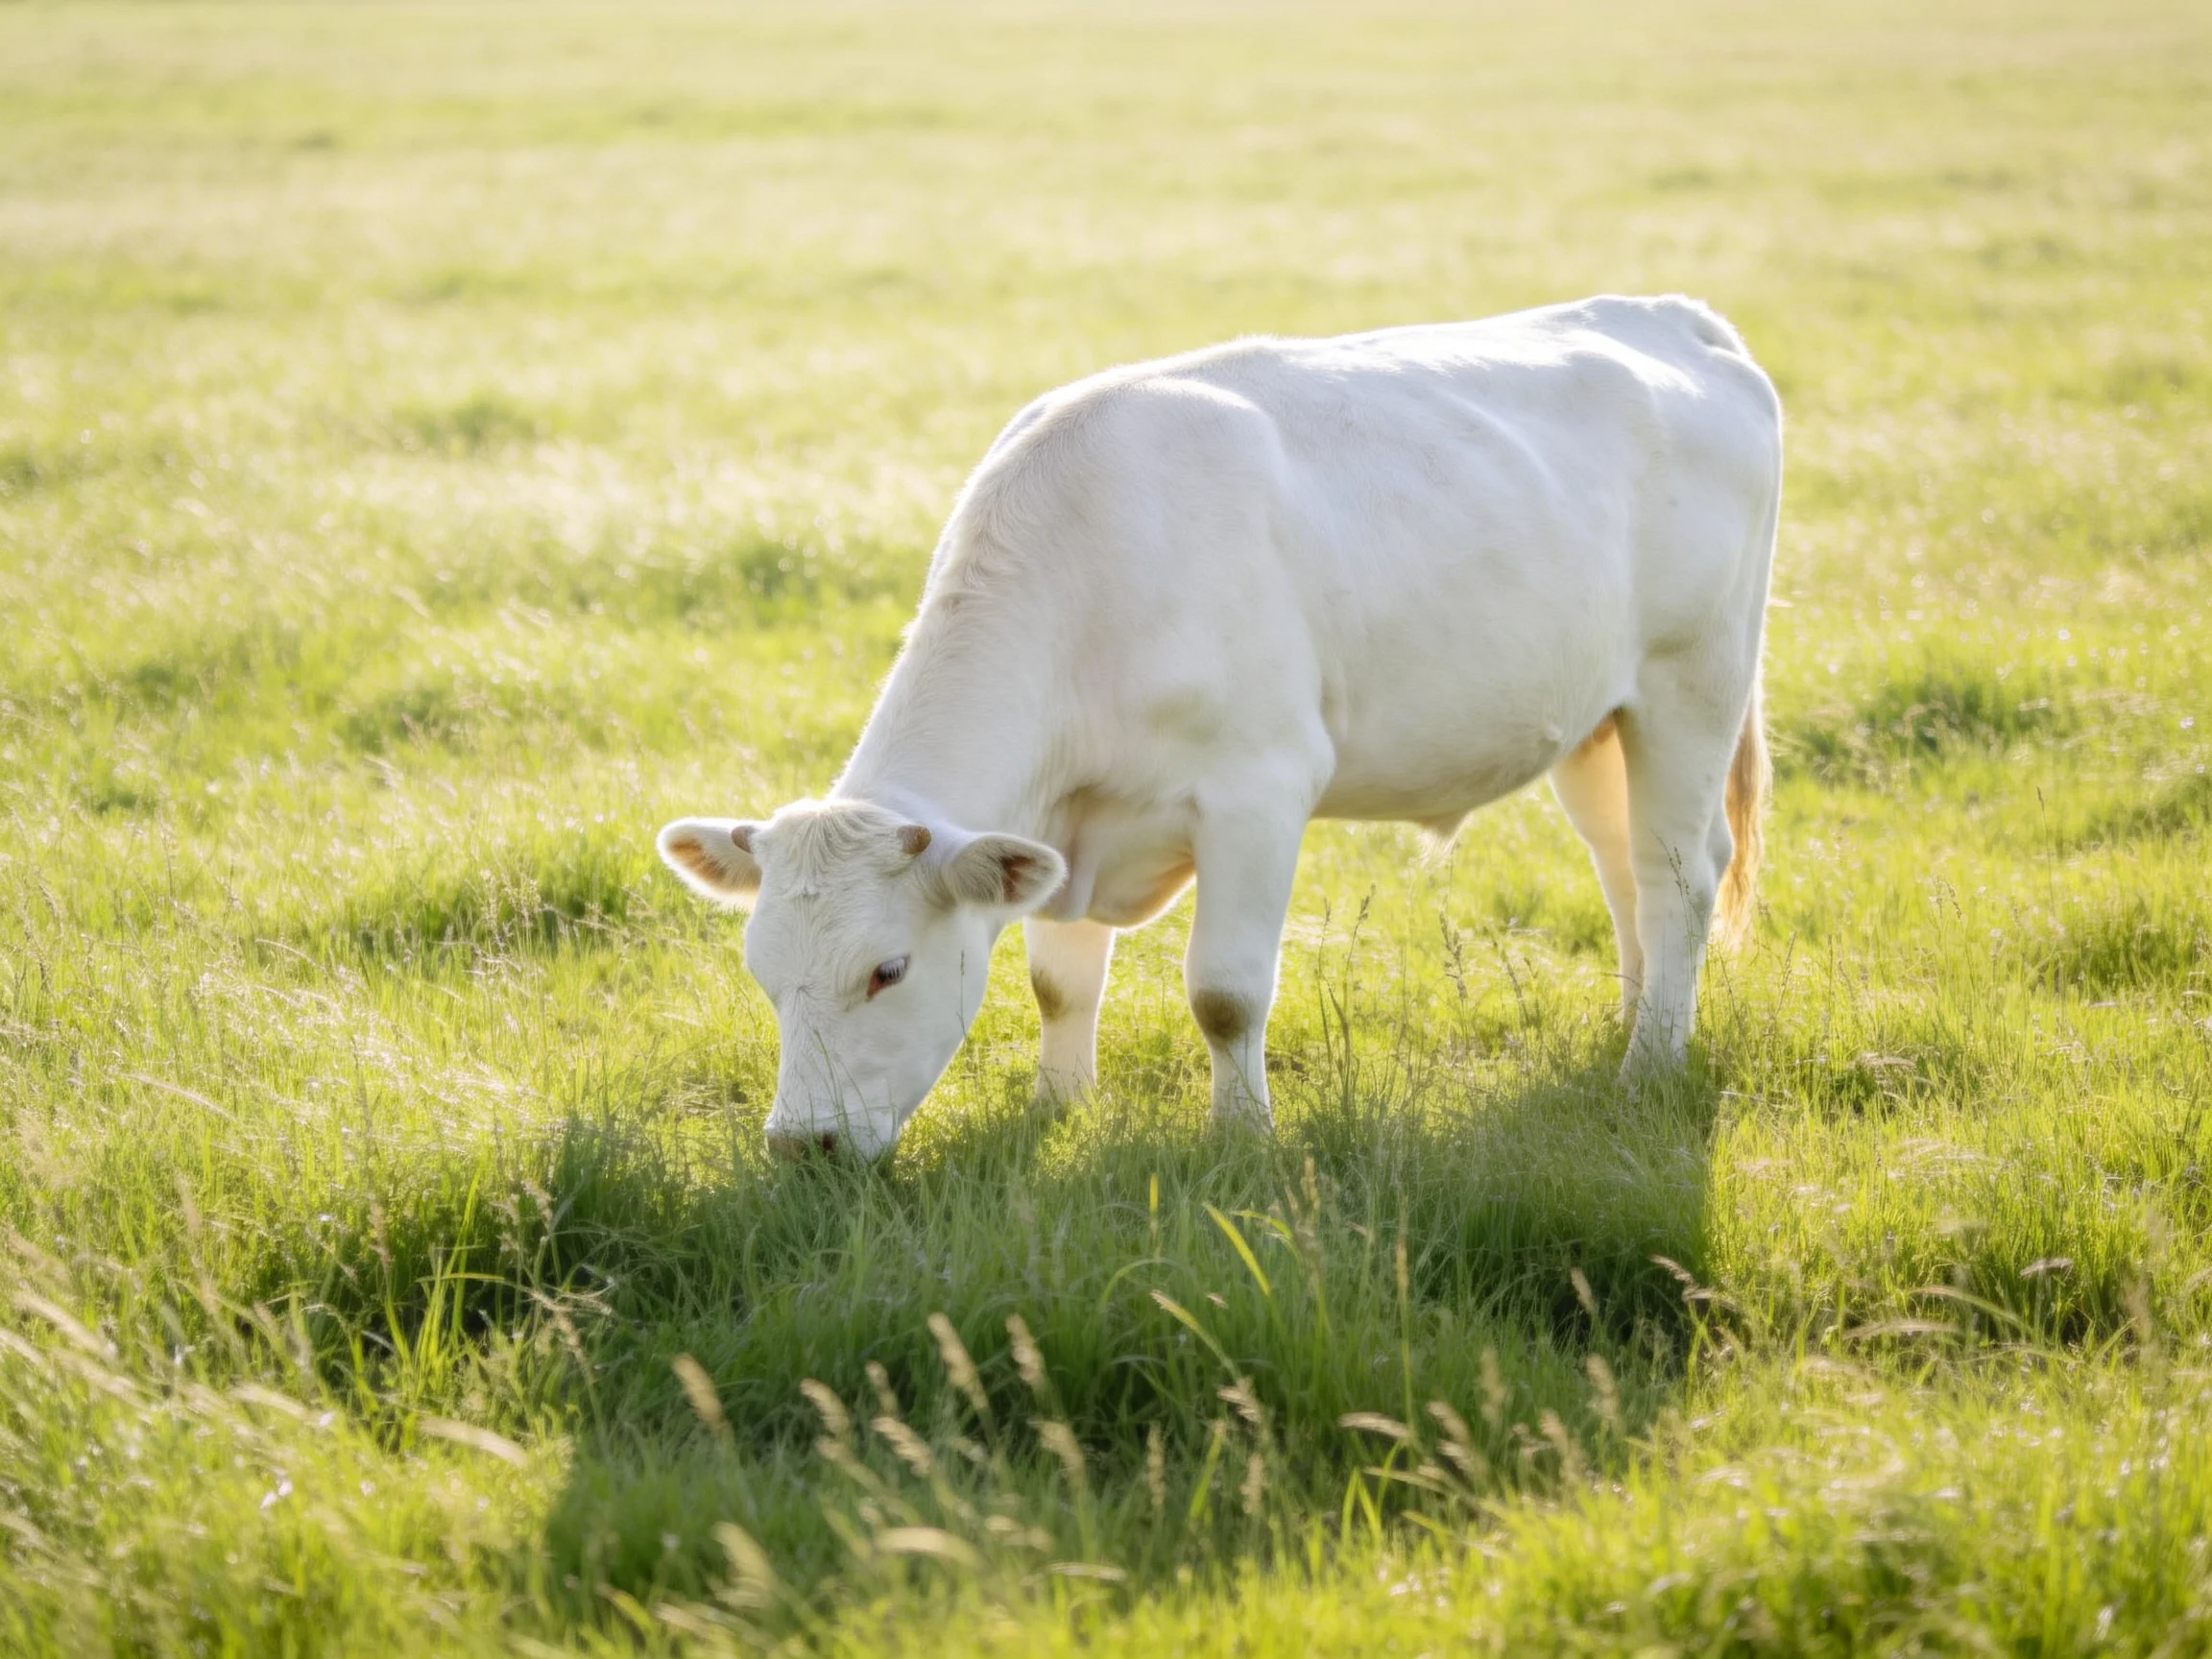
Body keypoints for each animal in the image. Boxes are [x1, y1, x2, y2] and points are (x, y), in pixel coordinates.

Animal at [658, 294, 1780, 1161]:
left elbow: (1226, 994)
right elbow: (1058, 984)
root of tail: (1671, 316)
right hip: (1599, 718)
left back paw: (1649, 1065)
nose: (802, 1145)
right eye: (762, 970)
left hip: (1694, 679)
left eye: (887, 970)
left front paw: (1241, 1136)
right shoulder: (1061, 827)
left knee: (1680, 876)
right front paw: (1056, 1107)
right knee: (1623, 864)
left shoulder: (1258, 791)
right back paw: (1635, 1021)